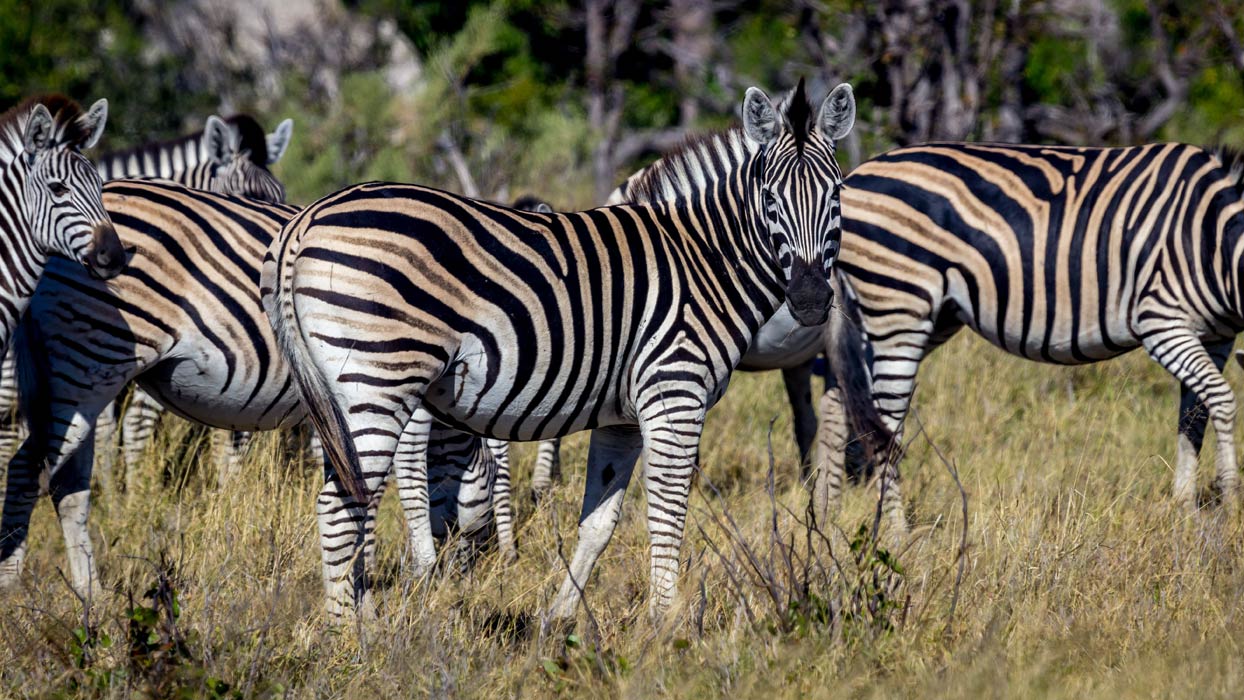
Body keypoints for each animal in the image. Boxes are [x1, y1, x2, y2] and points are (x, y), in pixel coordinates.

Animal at [265, 80, 878, 621]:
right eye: (769, 199)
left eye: (838, 195)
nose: (810, 300)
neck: (704, 257)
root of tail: (309, 216)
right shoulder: (674, 392)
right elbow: (667, 511)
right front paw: (666, 626)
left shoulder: (625, 417)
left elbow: (599, 523)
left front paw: (559, 620)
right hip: (379, 375)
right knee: (342, 504)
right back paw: (351, 637)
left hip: (346, 391)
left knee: (350, 497)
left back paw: (361, 614)